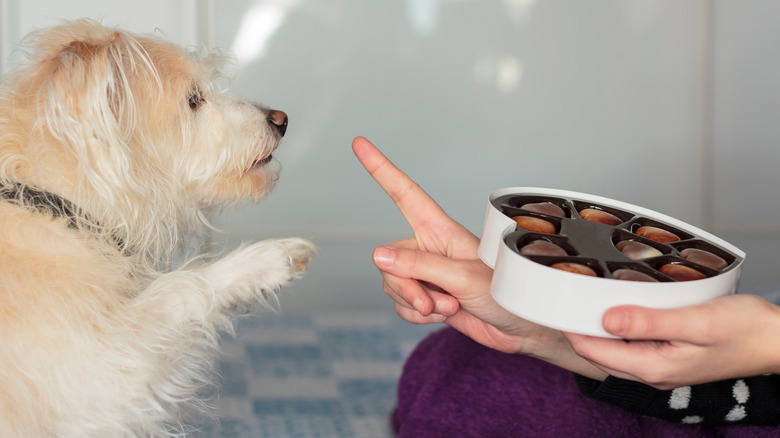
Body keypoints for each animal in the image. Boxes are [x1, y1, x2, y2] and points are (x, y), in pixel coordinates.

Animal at [0, 19, 316, 434]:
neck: (50, 200)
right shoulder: (97, 372)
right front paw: (264, 260)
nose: (281, 119)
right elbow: (178, 288)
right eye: (194, 99)